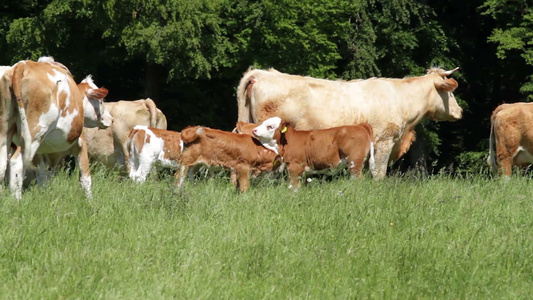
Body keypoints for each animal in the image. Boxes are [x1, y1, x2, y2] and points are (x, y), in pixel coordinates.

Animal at [0, 57, 111, 200]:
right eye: (101, 101)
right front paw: (90, 201)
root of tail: (23, 65)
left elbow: (42, 178)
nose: (111, 119)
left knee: (2, 165)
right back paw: (17, 200)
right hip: (33, 135)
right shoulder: (80, 144)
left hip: (5, 130)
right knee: (16, 163)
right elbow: (85, 178)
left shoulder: (41, 154)